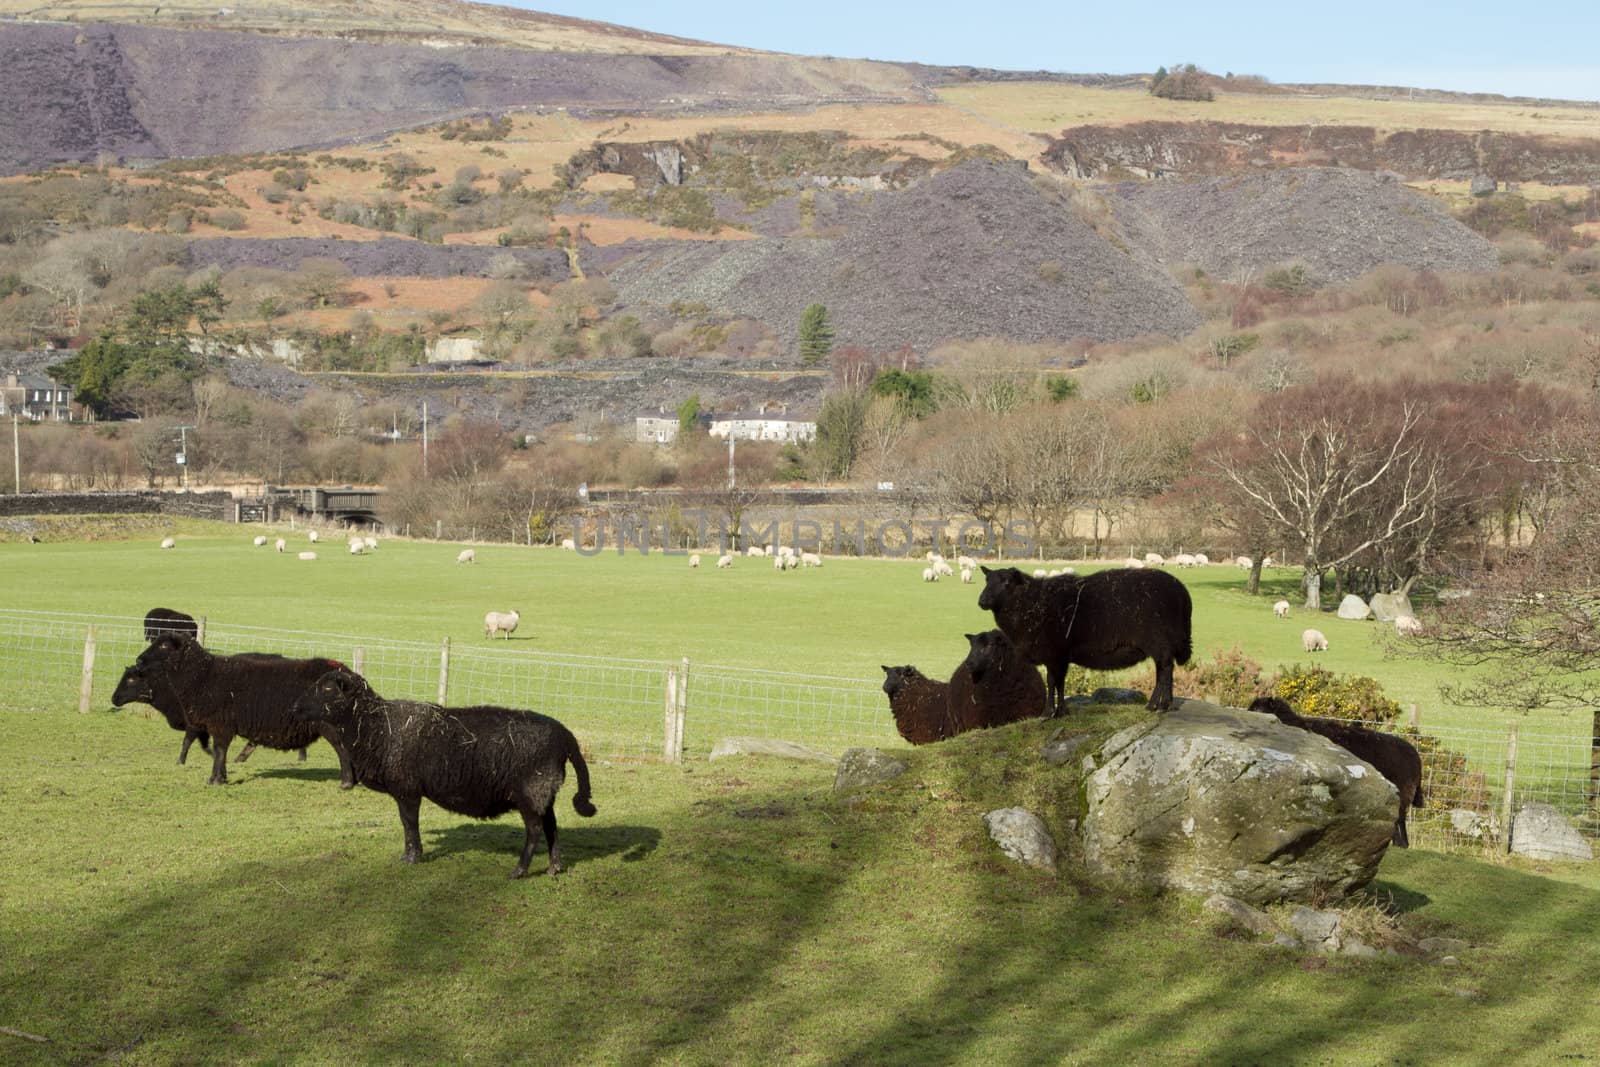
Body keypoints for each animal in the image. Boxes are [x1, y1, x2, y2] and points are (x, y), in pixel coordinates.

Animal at [116, 639, 356, 790]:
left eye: (164, 644)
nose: (139, 660)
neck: (203, 675)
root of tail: (347, 673)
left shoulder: (219, 724)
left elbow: (217, 750)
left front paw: (214, 779)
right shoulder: (215, 726)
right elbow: (216, 750)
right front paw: (220, 776)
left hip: (332, 725)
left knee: (343, 749)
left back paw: (346, 782)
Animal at [288, 668, 595, 876]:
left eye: (328, 690)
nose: (295, 707)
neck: (377, 727)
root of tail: (566, 736)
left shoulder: (407, 789)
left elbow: (409, 823)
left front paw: (413, 857)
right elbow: (406, 824)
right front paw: (408, 855)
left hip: (531, 791)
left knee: (534, 830)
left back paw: (519, 870)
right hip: (545, 792)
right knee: (551, 826)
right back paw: (554, 867)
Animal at [972, 563, 1190, 713]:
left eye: (1007, 582)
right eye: (987, 581)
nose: (982, 601)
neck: (1031, 603)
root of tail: (1182, 592)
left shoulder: (1053, 652)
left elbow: (1051, 681)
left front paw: (1048, 713)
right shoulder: (1060, 656)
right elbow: (1059, 682)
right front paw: (1061, 712)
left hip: (1159, 641)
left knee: (1165, 669)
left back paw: (1162, 705)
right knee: (1162, 670)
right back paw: (1155, 705)